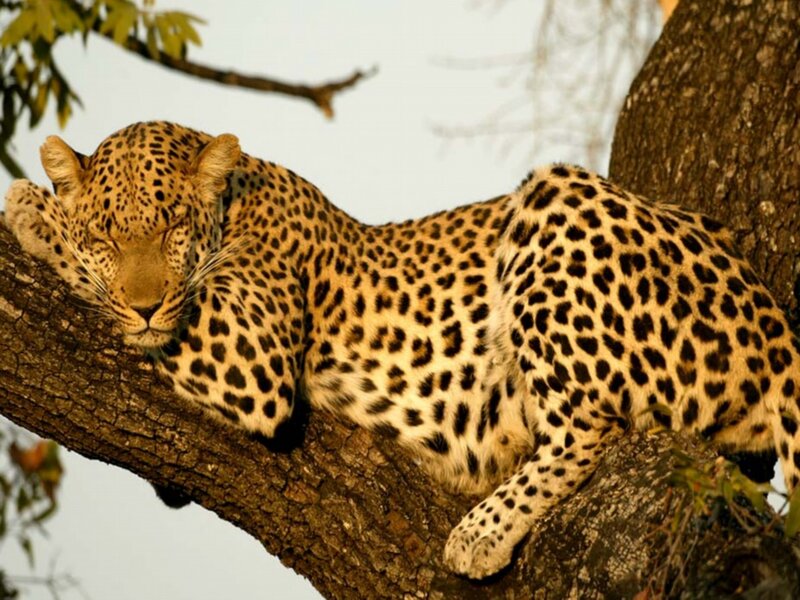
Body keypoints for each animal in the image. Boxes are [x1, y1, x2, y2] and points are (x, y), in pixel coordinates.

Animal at [5, 121, 800, 580]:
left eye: (171, 228)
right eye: (108, 236)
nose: (142, 305)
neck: (240, 198)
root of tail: (770, 320)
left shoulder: (255, 357)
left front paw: (30, 209)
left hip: (555, 198)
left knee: (588, 428)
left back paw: (481, 533)